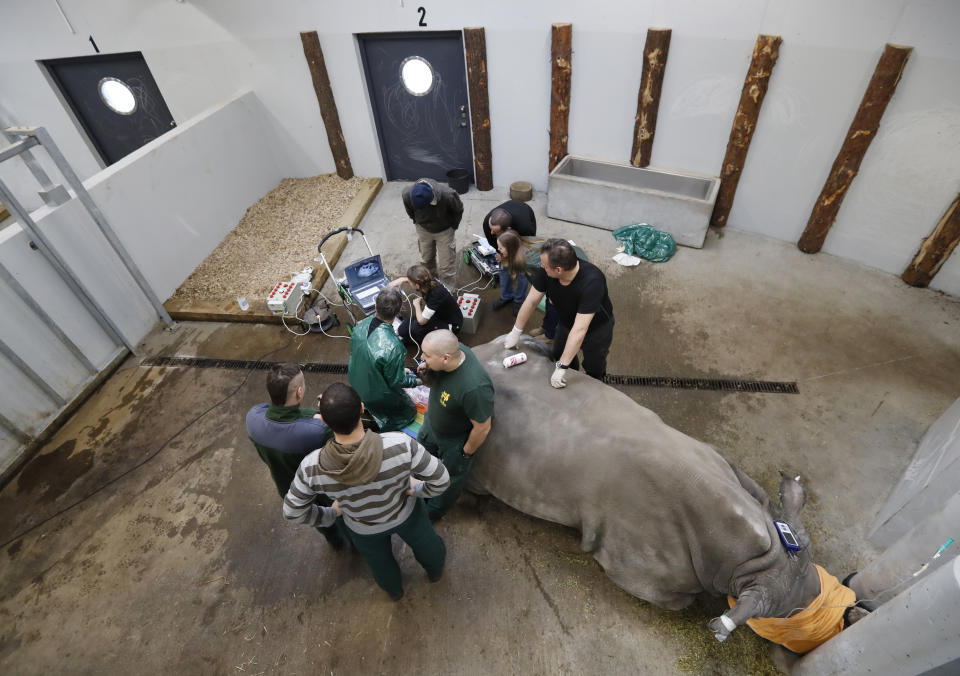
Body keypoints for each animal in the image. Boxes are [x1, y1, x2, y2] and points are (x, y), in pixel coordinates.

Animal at [466, 338, 840, 644]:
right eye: (784, 613)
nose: (816, 602)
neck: (755, 558)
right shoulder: (638, 568)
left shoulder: (716, 456)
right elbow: (679, 600)